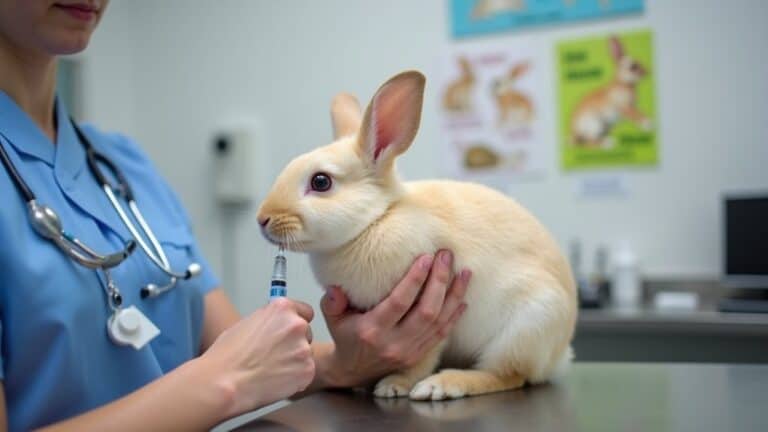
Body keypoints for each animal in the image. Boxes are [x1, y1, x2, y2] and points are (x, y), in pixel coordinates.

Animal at [257, 71, 577, 401]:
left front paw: (394, 385)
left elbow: (422, 359)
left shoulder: (432, 318)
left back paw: (444, 384)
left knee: (508, 375)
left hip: (526, 327)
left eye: (321, 182)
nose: (262, 219)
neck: (376, 219)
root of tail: (559, 356)